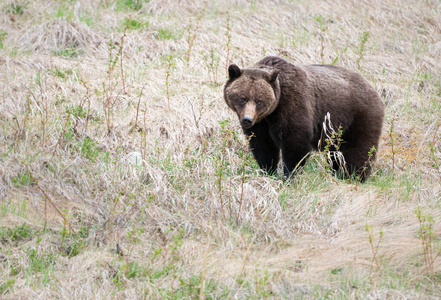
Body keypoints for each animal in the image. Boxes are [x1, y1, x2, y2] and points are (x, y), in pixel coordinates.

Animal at [223, 55, 382, 180]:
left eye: (259, 101)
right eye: (242, 98)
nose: (247, 119)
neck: (272, 112)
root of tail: (373, 88)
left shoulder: (293, 104)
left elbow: (295, 143)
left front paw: (289, 176)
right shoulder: (262, 124)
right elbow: (263, 146)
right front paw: (268, 171)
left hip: (358, 117)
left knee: (358, 150)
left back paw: (353, 176)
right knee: (335, 154)